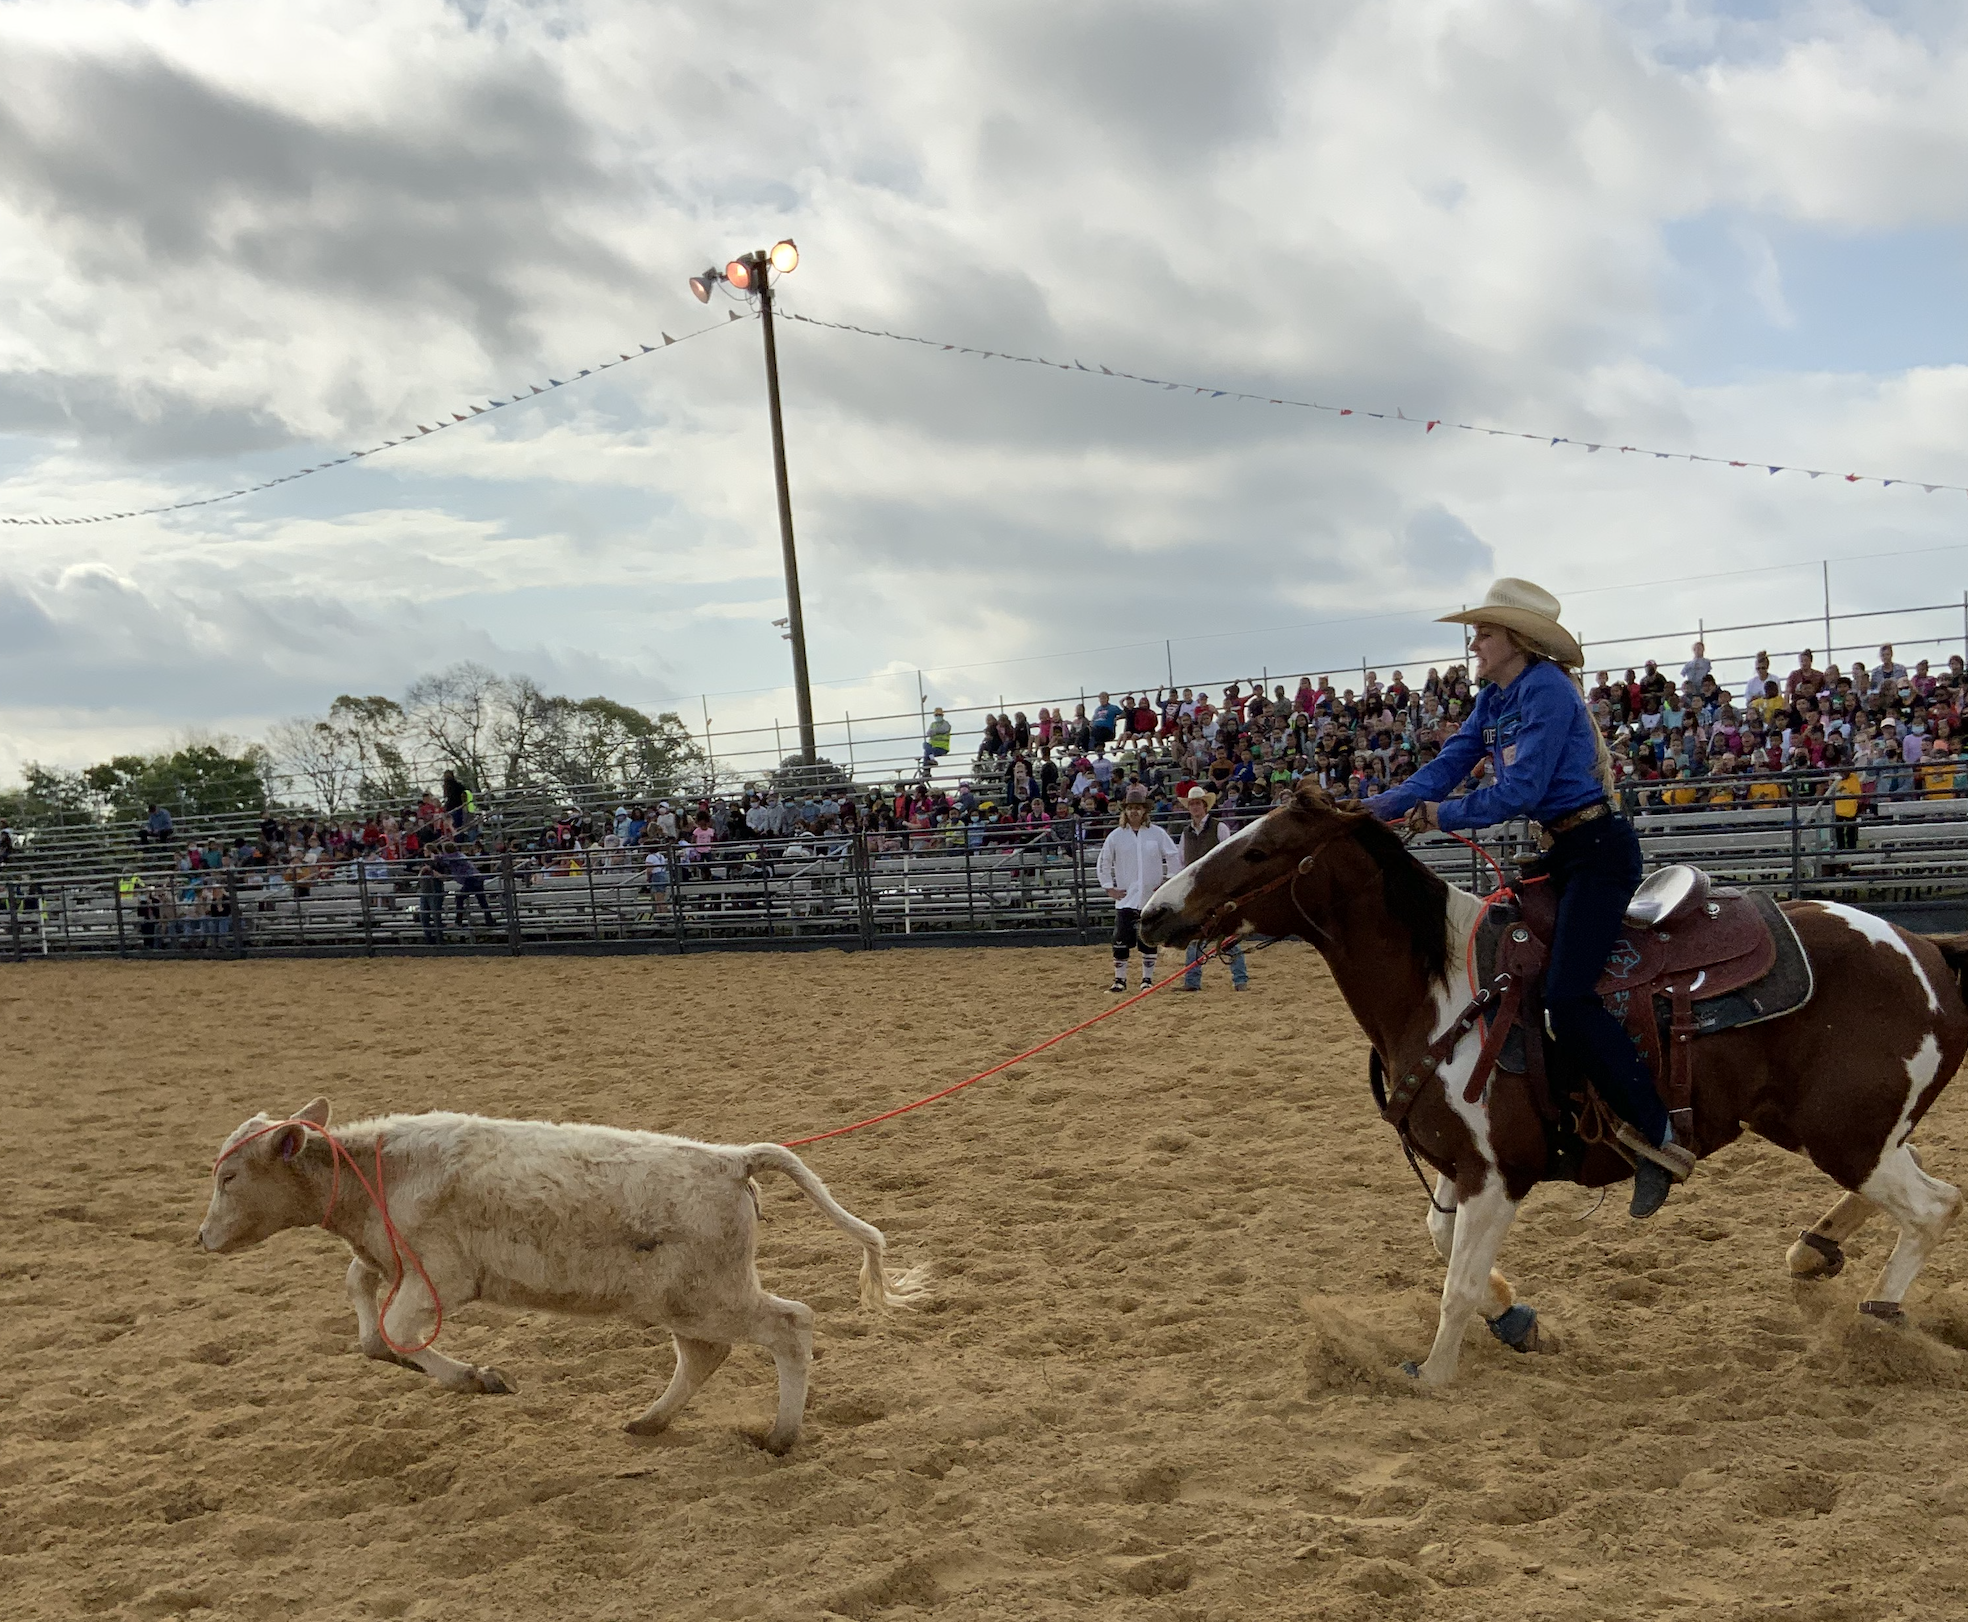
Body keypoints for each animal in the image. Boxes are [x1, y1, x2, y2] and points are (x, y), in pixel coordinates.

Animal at [1133, 783, 1968, 1377]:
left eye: (1261, 851)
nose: (1149, 914)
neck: (1442, 987)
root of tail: (1925, 947)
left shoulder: (1495, 1172)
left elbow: (1455, 1285)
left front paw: (1433, 1375)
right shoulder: (1459, 1167)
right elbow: (1443, 1242)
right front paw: (1516, 1320)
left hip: (1845, 1134)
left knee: (1933, 1206)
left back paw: (1878, 1322)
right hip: (1847, 1131)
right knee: (1919, 1189)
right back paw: (1814, 1252)